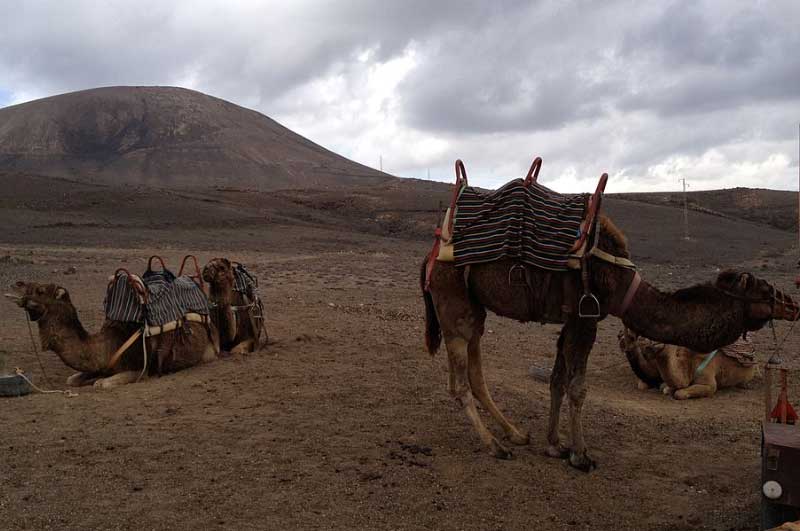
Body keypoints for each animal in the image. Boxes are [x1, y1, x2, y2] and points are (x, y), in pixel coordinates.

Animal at [6, 280, 220, 388]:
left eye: (40, 290)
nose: (15, 284)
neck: (105, 345)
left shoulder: (140, 370)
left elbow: (101, 384)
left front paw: (97, 382)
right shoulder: (98, 365)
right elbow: (72, 379)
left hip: (208, 353)